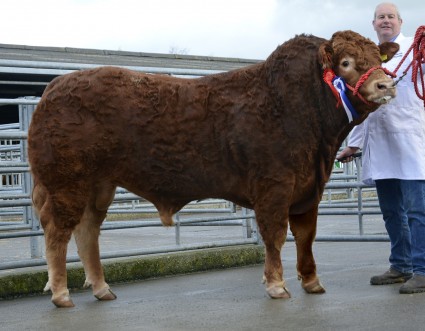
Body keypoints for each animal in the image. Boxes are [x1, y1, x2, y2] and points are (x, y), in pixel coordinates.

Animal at [27, 29, 398, 308]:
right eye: (346, 62)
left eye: (378, 59)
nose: (385, 86)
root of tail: (55, 87)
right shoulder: (274, 186)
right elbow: (275, 235)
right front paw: (277, 285)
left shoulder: (309, 188)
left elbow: (306, 235)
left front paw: (311, 281)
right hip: (66, 183)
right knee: (58, 233)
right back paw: (61, 294)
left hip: (98, 185)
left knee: (87, 230)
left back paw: (102, 289)